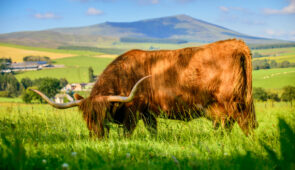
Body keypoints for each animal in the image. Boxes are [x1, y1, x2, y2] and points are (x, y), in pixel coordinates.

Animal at [31, 39, 260, 137]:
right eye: (86, 116)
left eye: (103, 114)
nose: (97, 136)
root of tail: (235, 42)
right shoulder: (149, 113)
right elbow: (153, 132)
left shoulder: (133, 112)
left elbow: (127, 133)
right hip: (224, 108)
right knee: (227, 125)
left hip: (234, 102)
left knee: (244, 124)